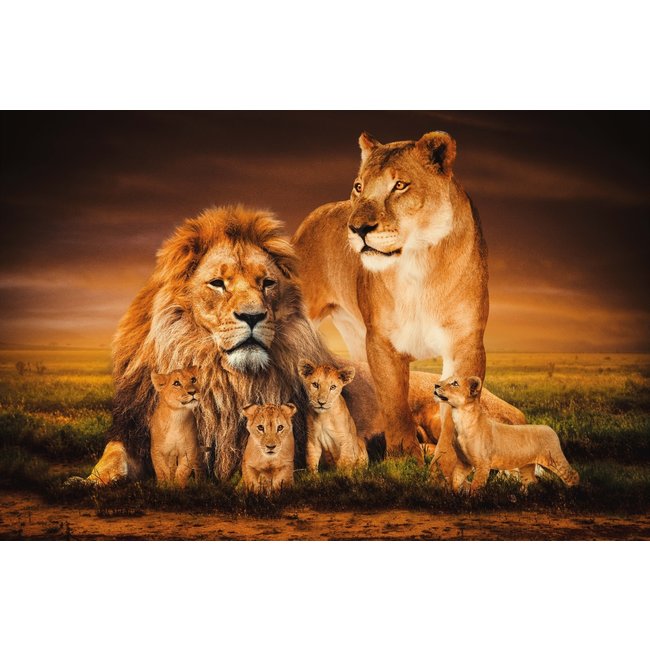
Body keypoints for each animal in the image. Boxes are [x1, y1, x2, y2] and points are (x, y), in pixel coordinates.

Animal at [80, 205, 523, 486]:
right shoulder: (134, 431)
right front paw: (86, 481)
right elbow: (112, 460)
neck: (223, 376)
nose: (253, 316)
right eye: (218, 283)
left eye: (266, 283)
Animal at [292, 130, 523, 480]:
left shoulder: (465, 341)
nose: (357, 228)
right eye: (358, 186)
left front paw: (447, 463)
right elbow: (393, 402)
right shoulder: (381, 341)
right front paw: (402, 459)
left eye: (399, 185)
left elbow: (456, 407)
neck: (418, 263)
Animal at [434, 376, 579, 493]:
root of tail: (549, 428)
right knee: (531, 480)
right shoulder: (463, 461)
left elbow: (476, 485)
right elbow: (455, 479)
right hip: (526, 466)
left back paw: (571, 494)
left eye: (455, 383)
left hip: (555, 460)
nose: (435, 385)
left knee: (573, 474)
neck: (460, 418)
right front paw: (454, 496)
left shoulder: (483, 464)